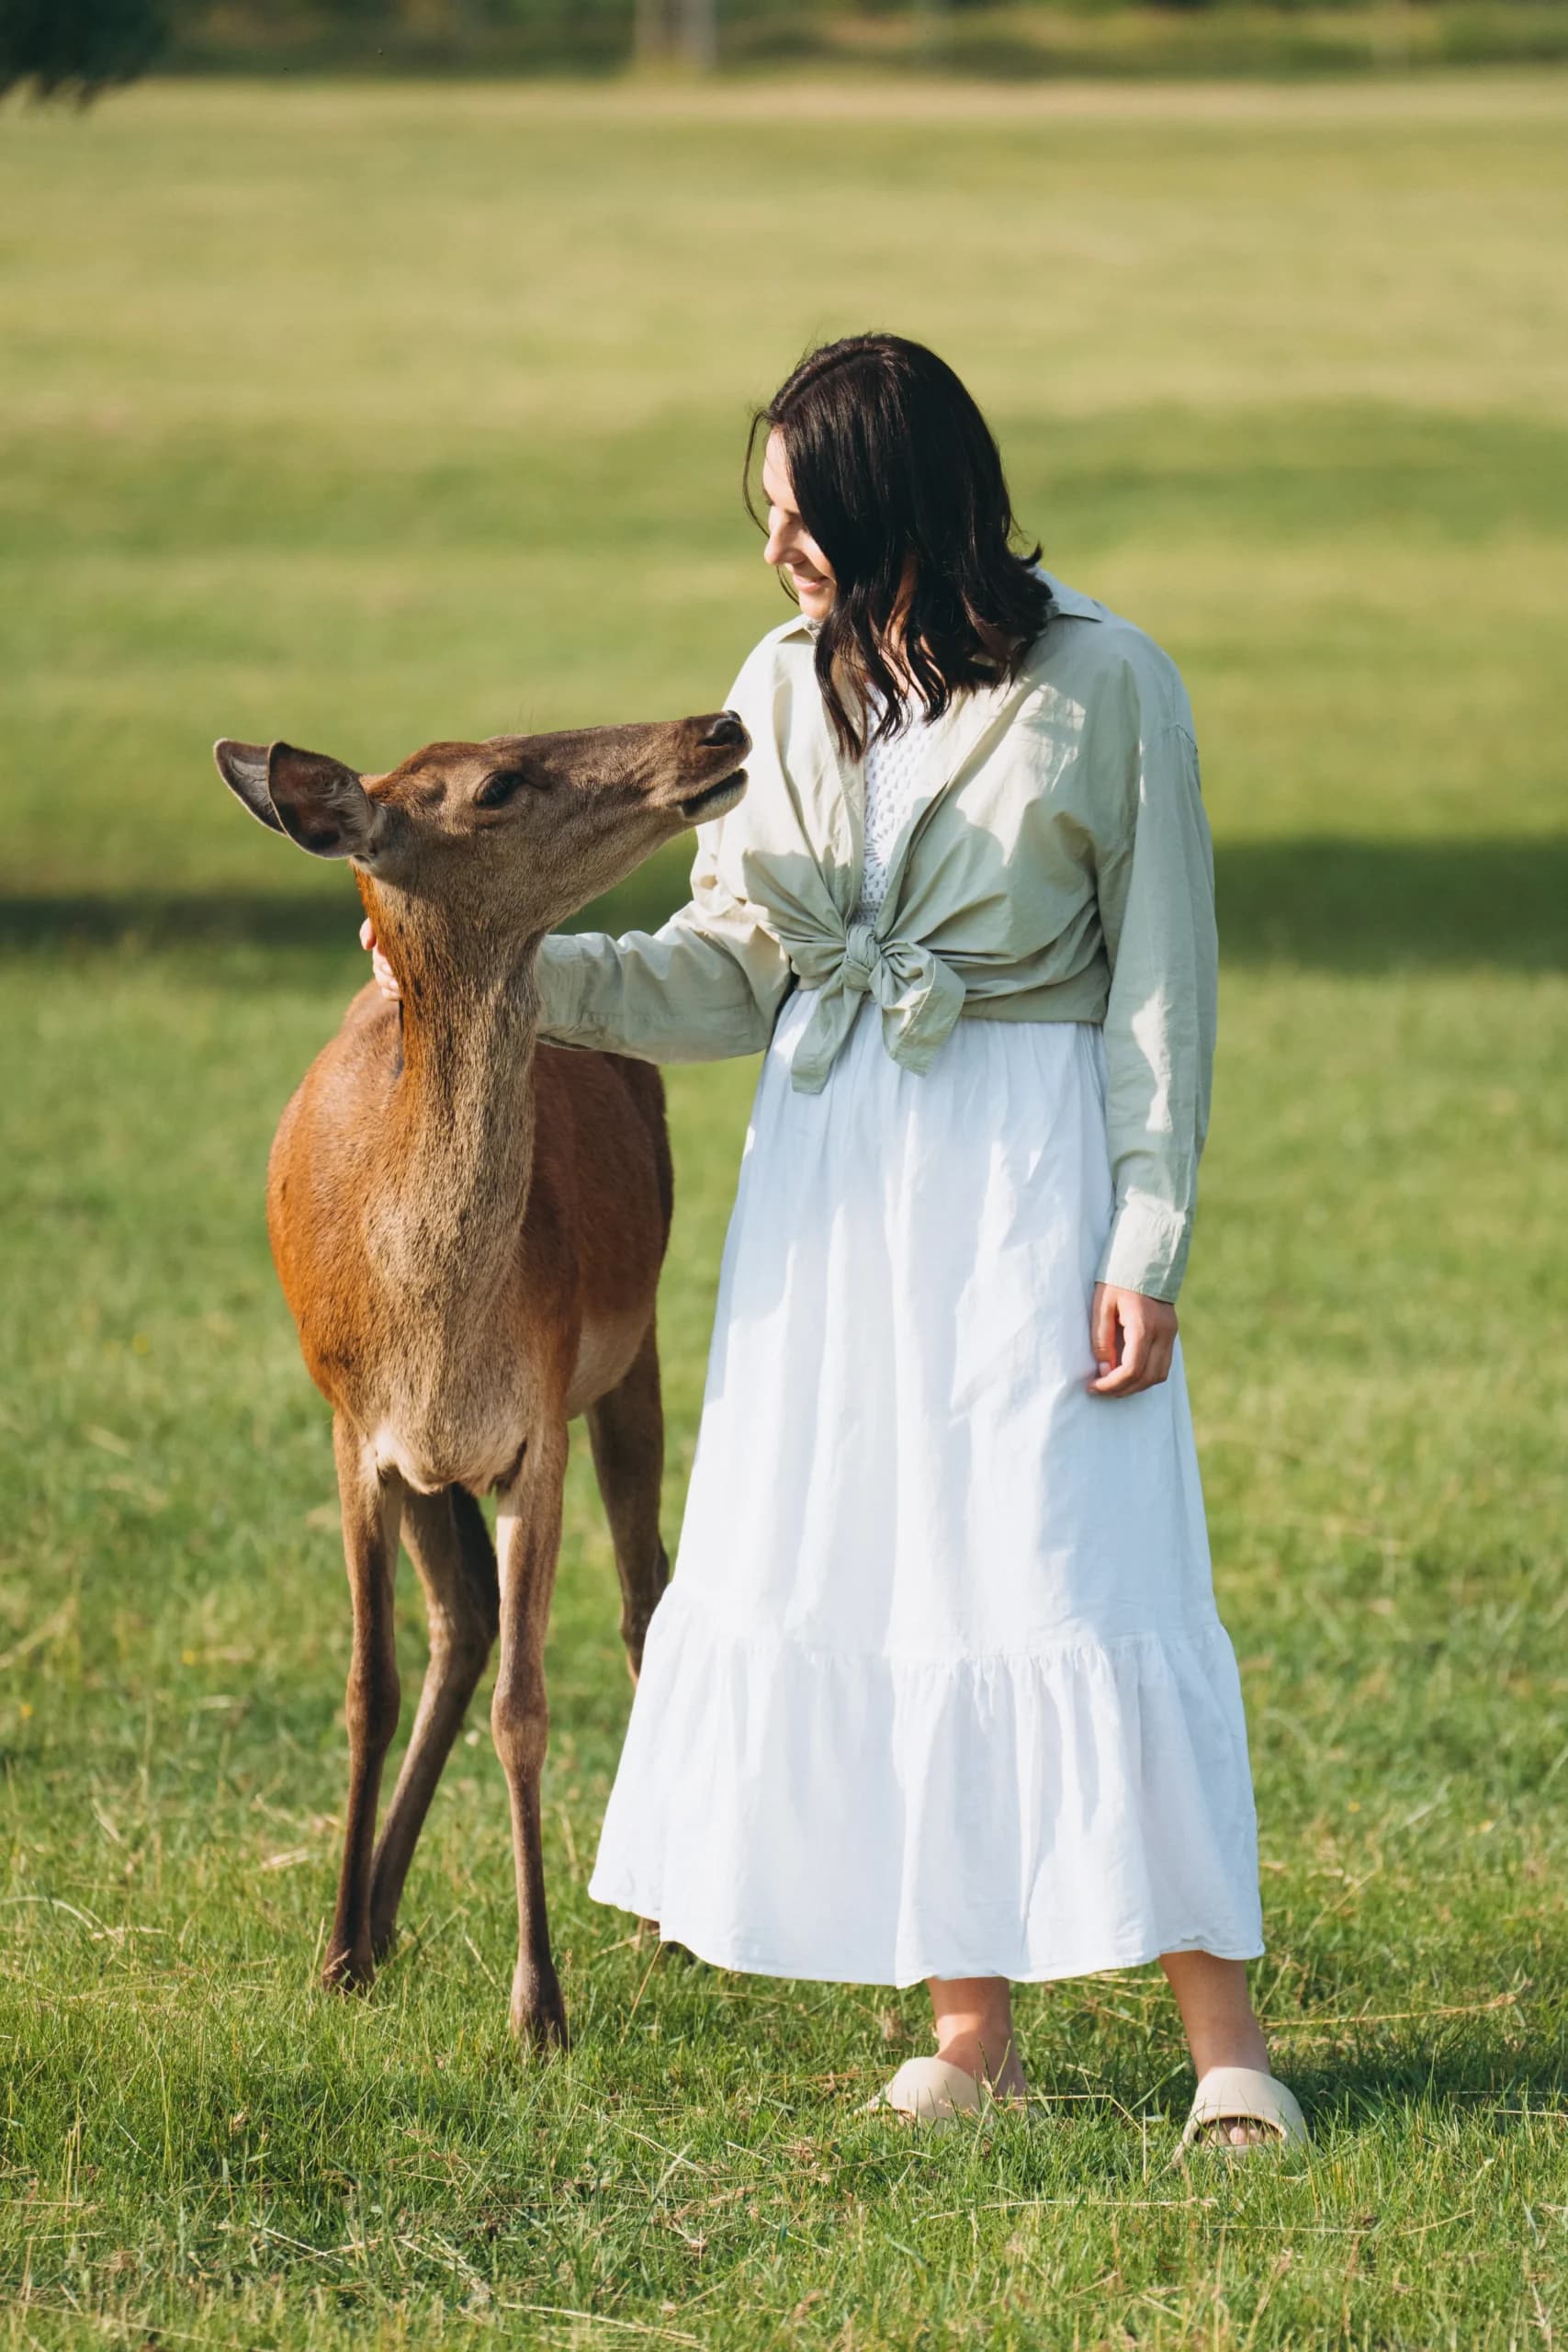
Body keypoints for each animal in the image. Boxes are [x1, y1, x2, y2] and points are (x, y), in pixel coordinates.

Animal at [212, 709, 750, 2046]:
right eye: (499, 782)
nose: (715, 724)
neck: (437, 1326)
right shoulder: (354, 1428)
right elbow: (371, 1681)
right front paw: (332, 1951)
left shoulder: (536, 1422)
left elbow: (525, 1707)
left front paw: (538, 2004)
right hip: (431, 1462)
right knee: (459, 1620)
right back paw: (376, 1916)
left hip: (635, 1349)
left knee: (641, 1597)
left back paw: (657, 1926)